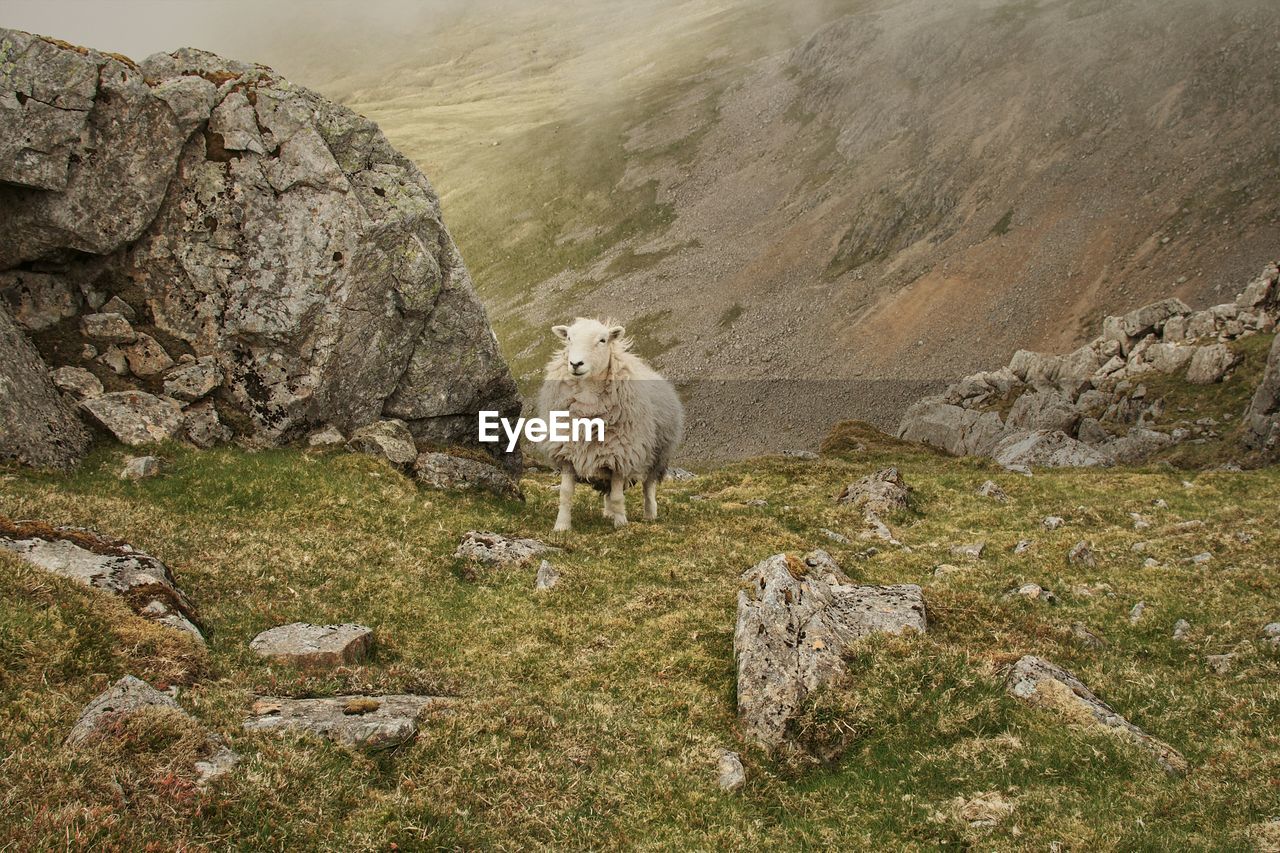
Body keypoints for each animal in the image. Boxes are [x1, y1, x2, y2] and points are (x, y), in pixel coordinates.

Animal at [537, 315, 686, 527]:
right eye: (569, 339)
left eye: (602, 340)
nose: (575, 364)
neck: (588, 395)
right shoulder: (567, 453)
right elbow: (565, 494)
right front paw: (561, 526)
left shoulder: (621, 455)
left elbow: (618, 497)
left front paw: (621, 525)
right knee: (609, 491)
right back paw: (608, 513)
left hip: (656, 454)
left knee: (648, 486)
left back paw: (650, 514)